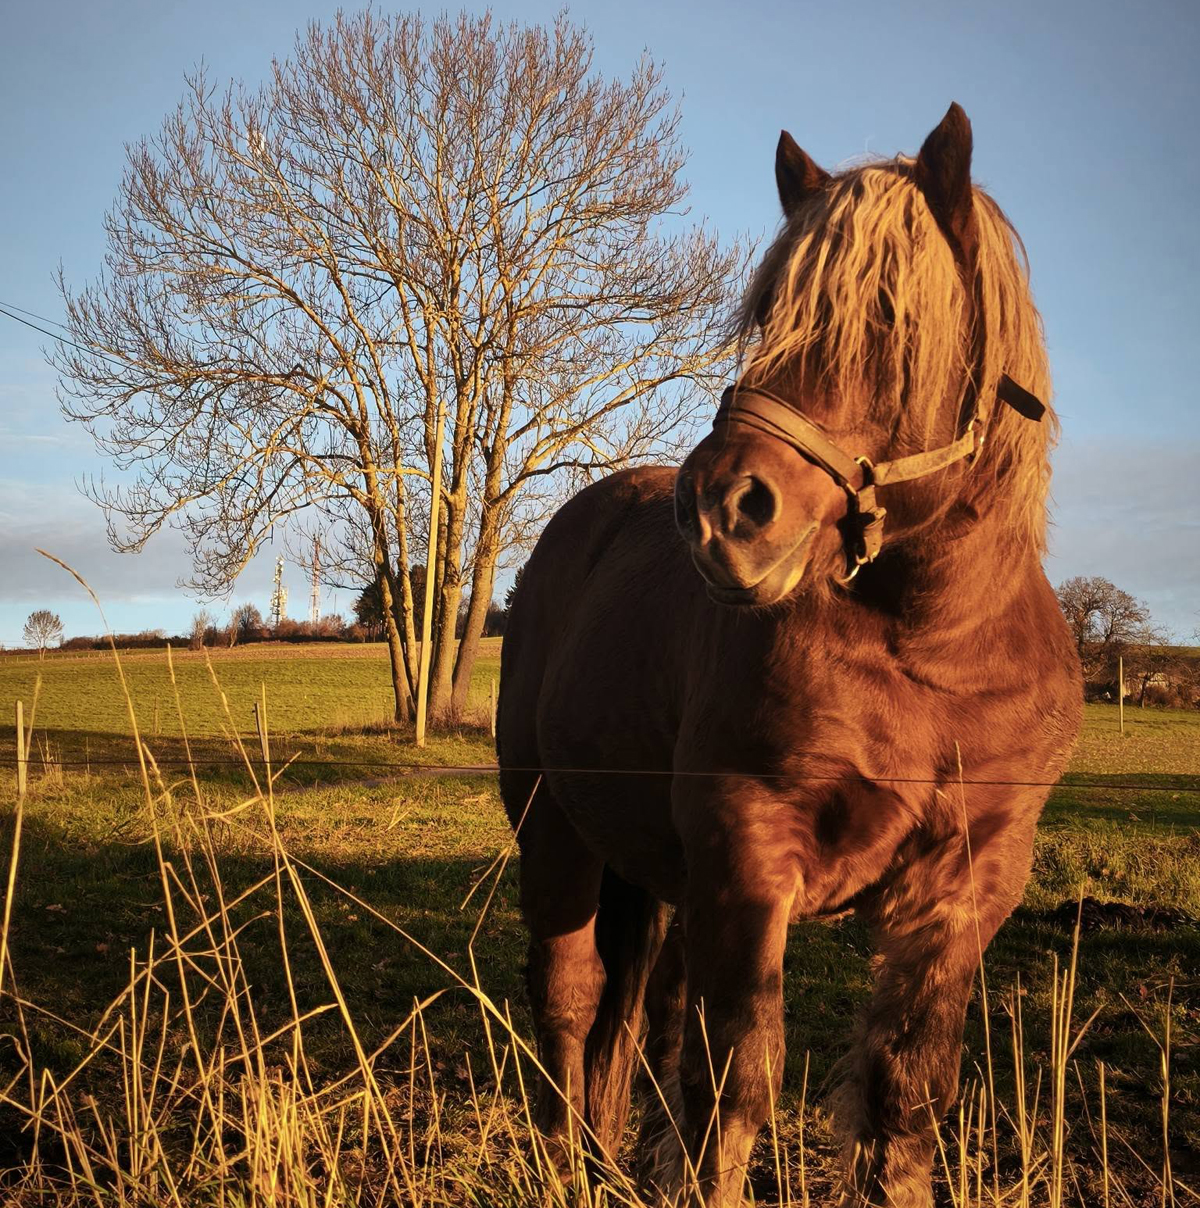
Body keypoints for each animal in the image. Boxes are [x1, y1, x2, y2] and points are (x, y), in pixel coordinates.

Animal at [497, 103, 1082, 1207]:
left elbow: (904, 1097)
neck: (930, 650)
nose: (723, 509)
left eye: (890, 315)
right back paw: (564, 1166)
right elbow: (734, 1086)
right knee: (569, 1001)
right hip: (554, 833)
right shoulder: (747, 855)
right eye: (769, 314)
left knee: (637, 1020)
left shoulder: (963, 892)